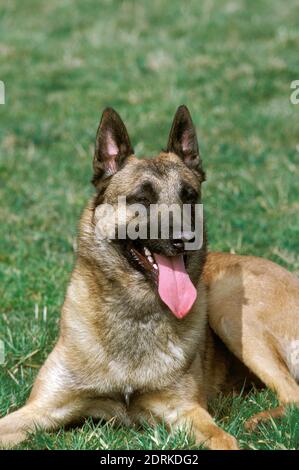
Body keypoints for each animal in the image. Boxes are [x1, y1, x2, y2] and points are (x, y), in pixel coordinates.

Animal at [0, 104, 298, 450]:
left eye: (189, 196)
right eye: (141, 199)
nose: (184, 238)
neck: (135, 313)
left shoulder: (185, 411)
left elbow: (225, 440)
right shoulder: (43, 408)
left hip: (229, 307)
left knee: (292, 395)